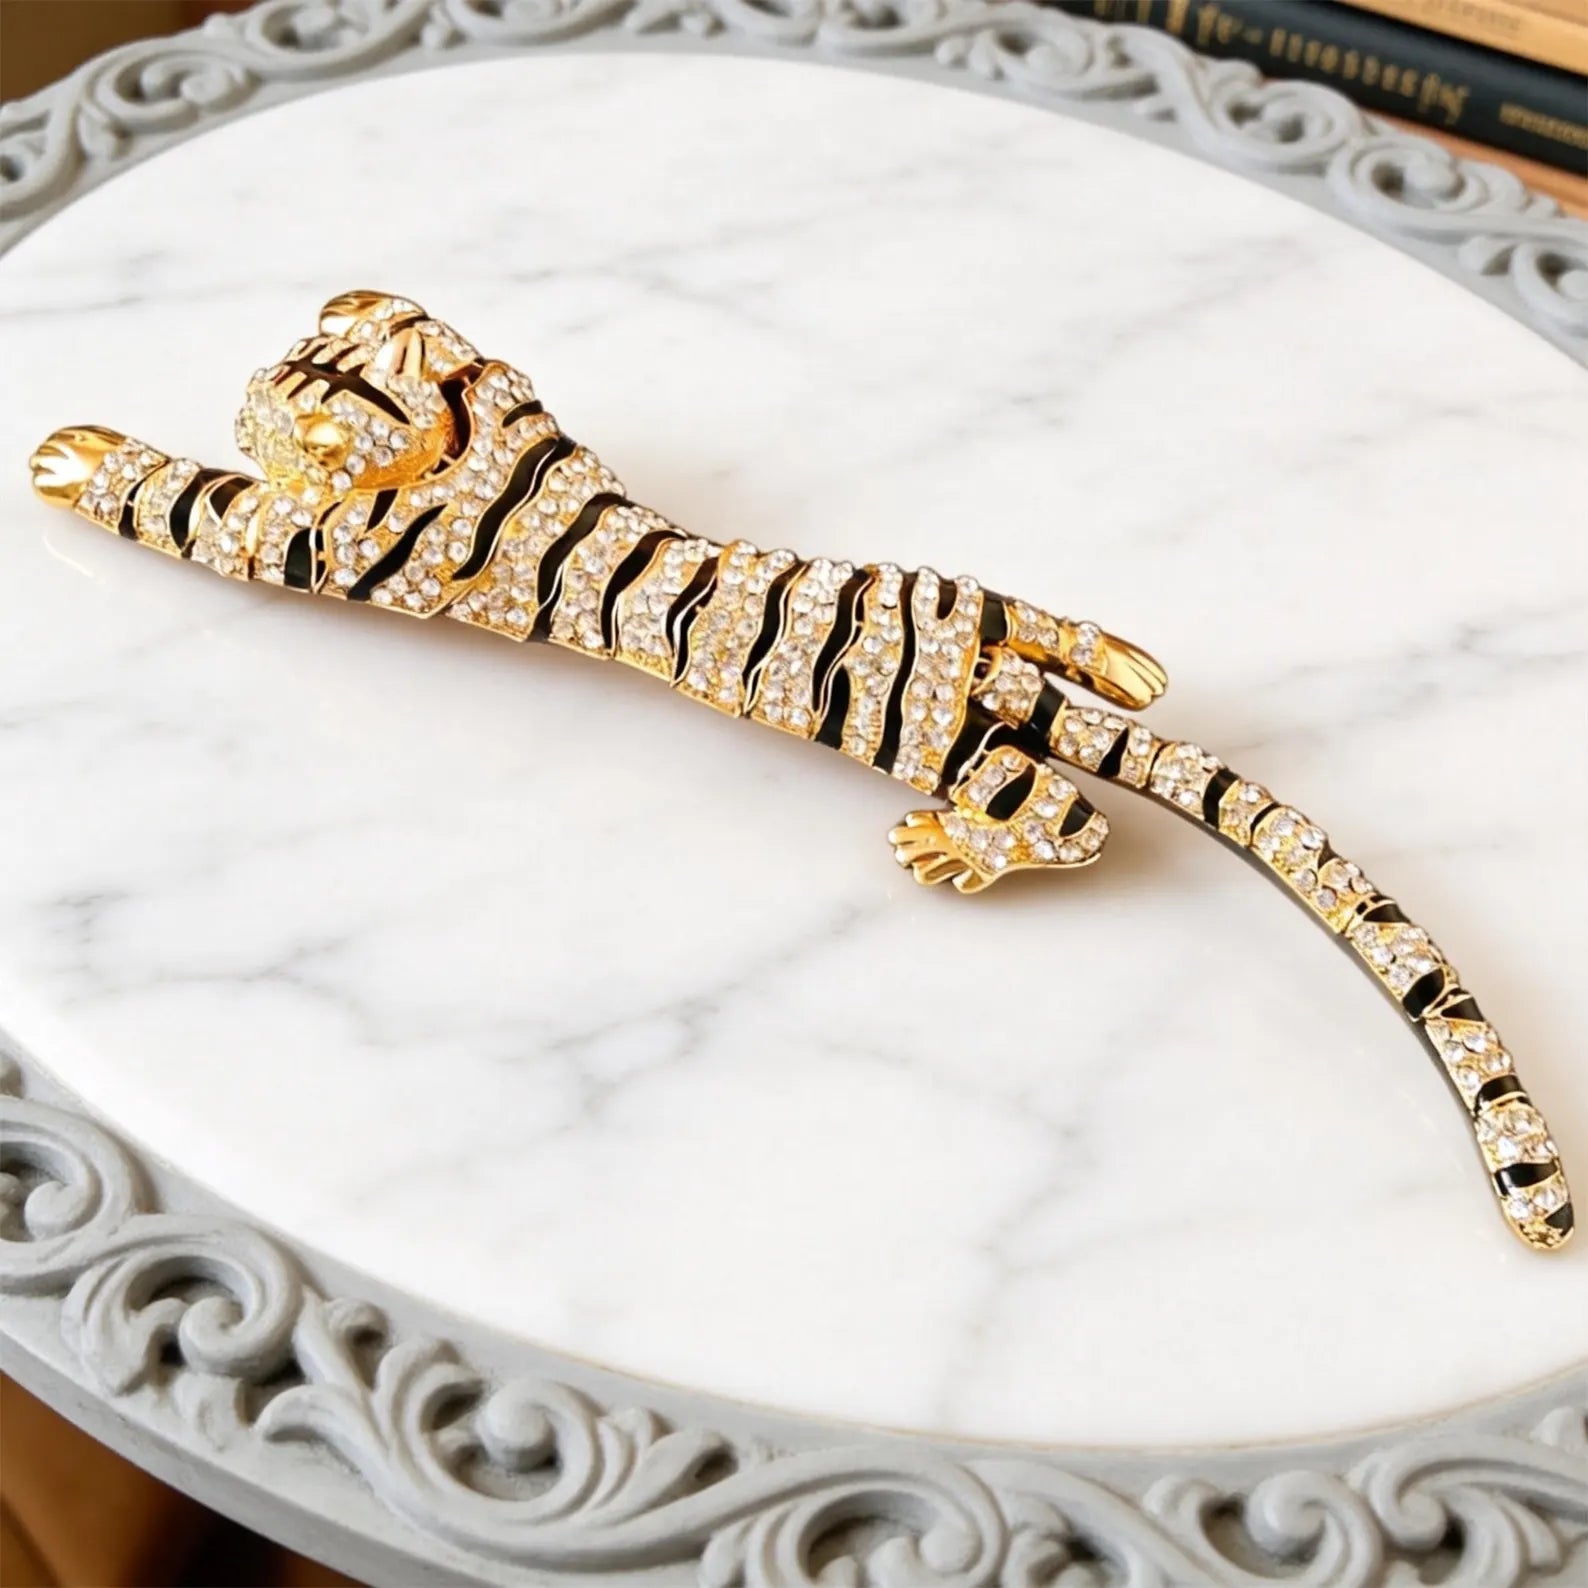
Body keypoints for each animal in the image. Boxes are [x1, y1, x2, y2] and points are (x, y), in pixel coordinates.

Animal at [29, 290, 1571, 1252]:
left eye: (297, 401)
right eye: (296, 355)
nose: (253, 387)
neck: (483, 440)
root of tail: (994, 674)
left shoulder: (326, 545)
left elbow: (186, 503)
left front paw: (74, 447)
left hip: (924, 734)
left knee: (1069, 813)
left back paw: (965, 847)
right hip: (985, 613)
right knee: (1067, 647)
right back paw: (1123, 660)